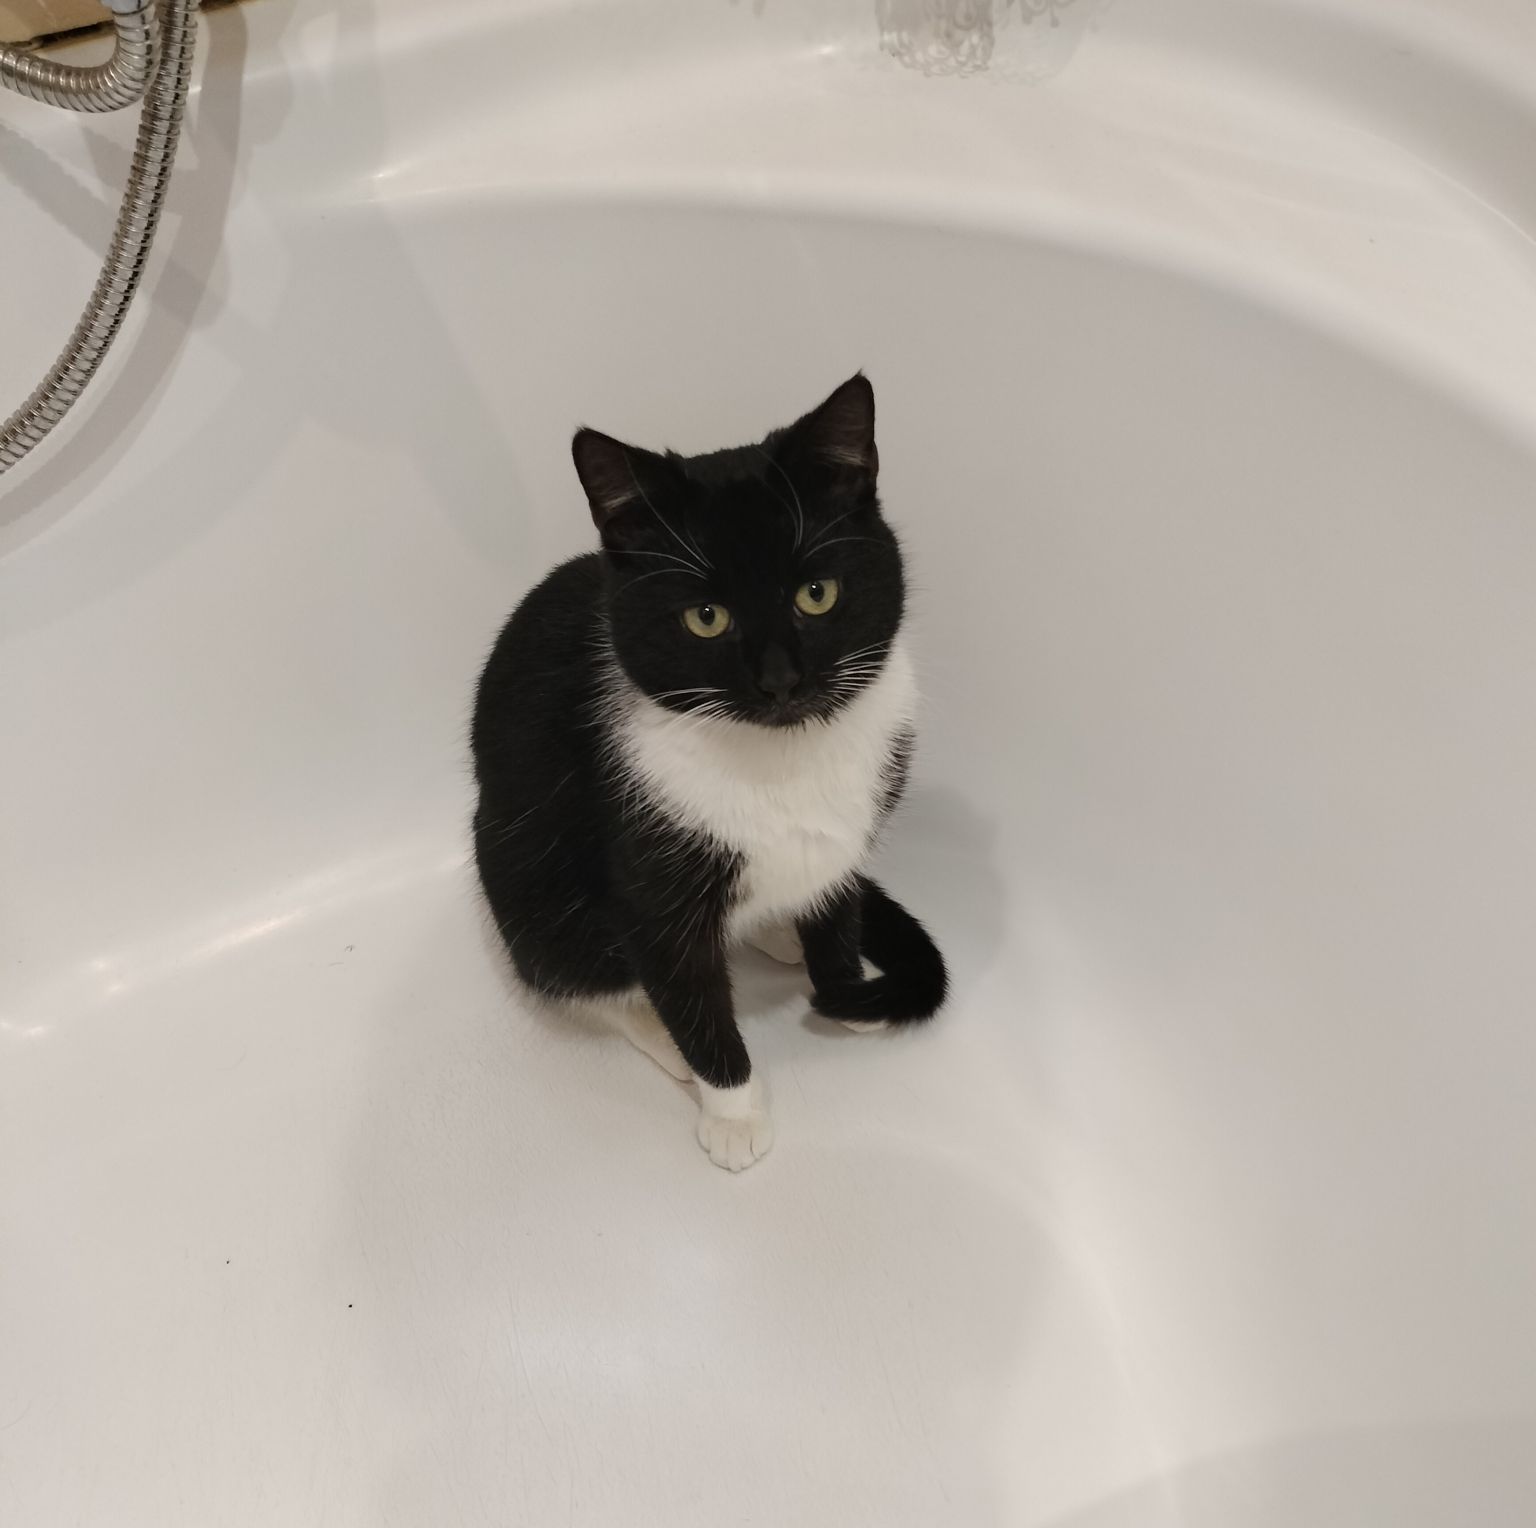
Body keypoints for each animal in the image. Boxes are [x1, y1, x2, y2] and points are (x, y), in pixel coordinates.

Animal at [471, 374, 947, 1170]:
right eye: (706, 617)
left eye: (817, 594)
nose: (781, 681)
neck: (781, 758)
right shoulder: (646, 870)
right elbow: (688, 993)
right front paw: (734, 1111)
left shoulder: (856, 820)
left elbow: (836, 907)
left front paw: (845, 986)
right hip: (521, 870)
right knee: (575, 973)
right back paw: (661, 1037)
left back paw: (779, 932)